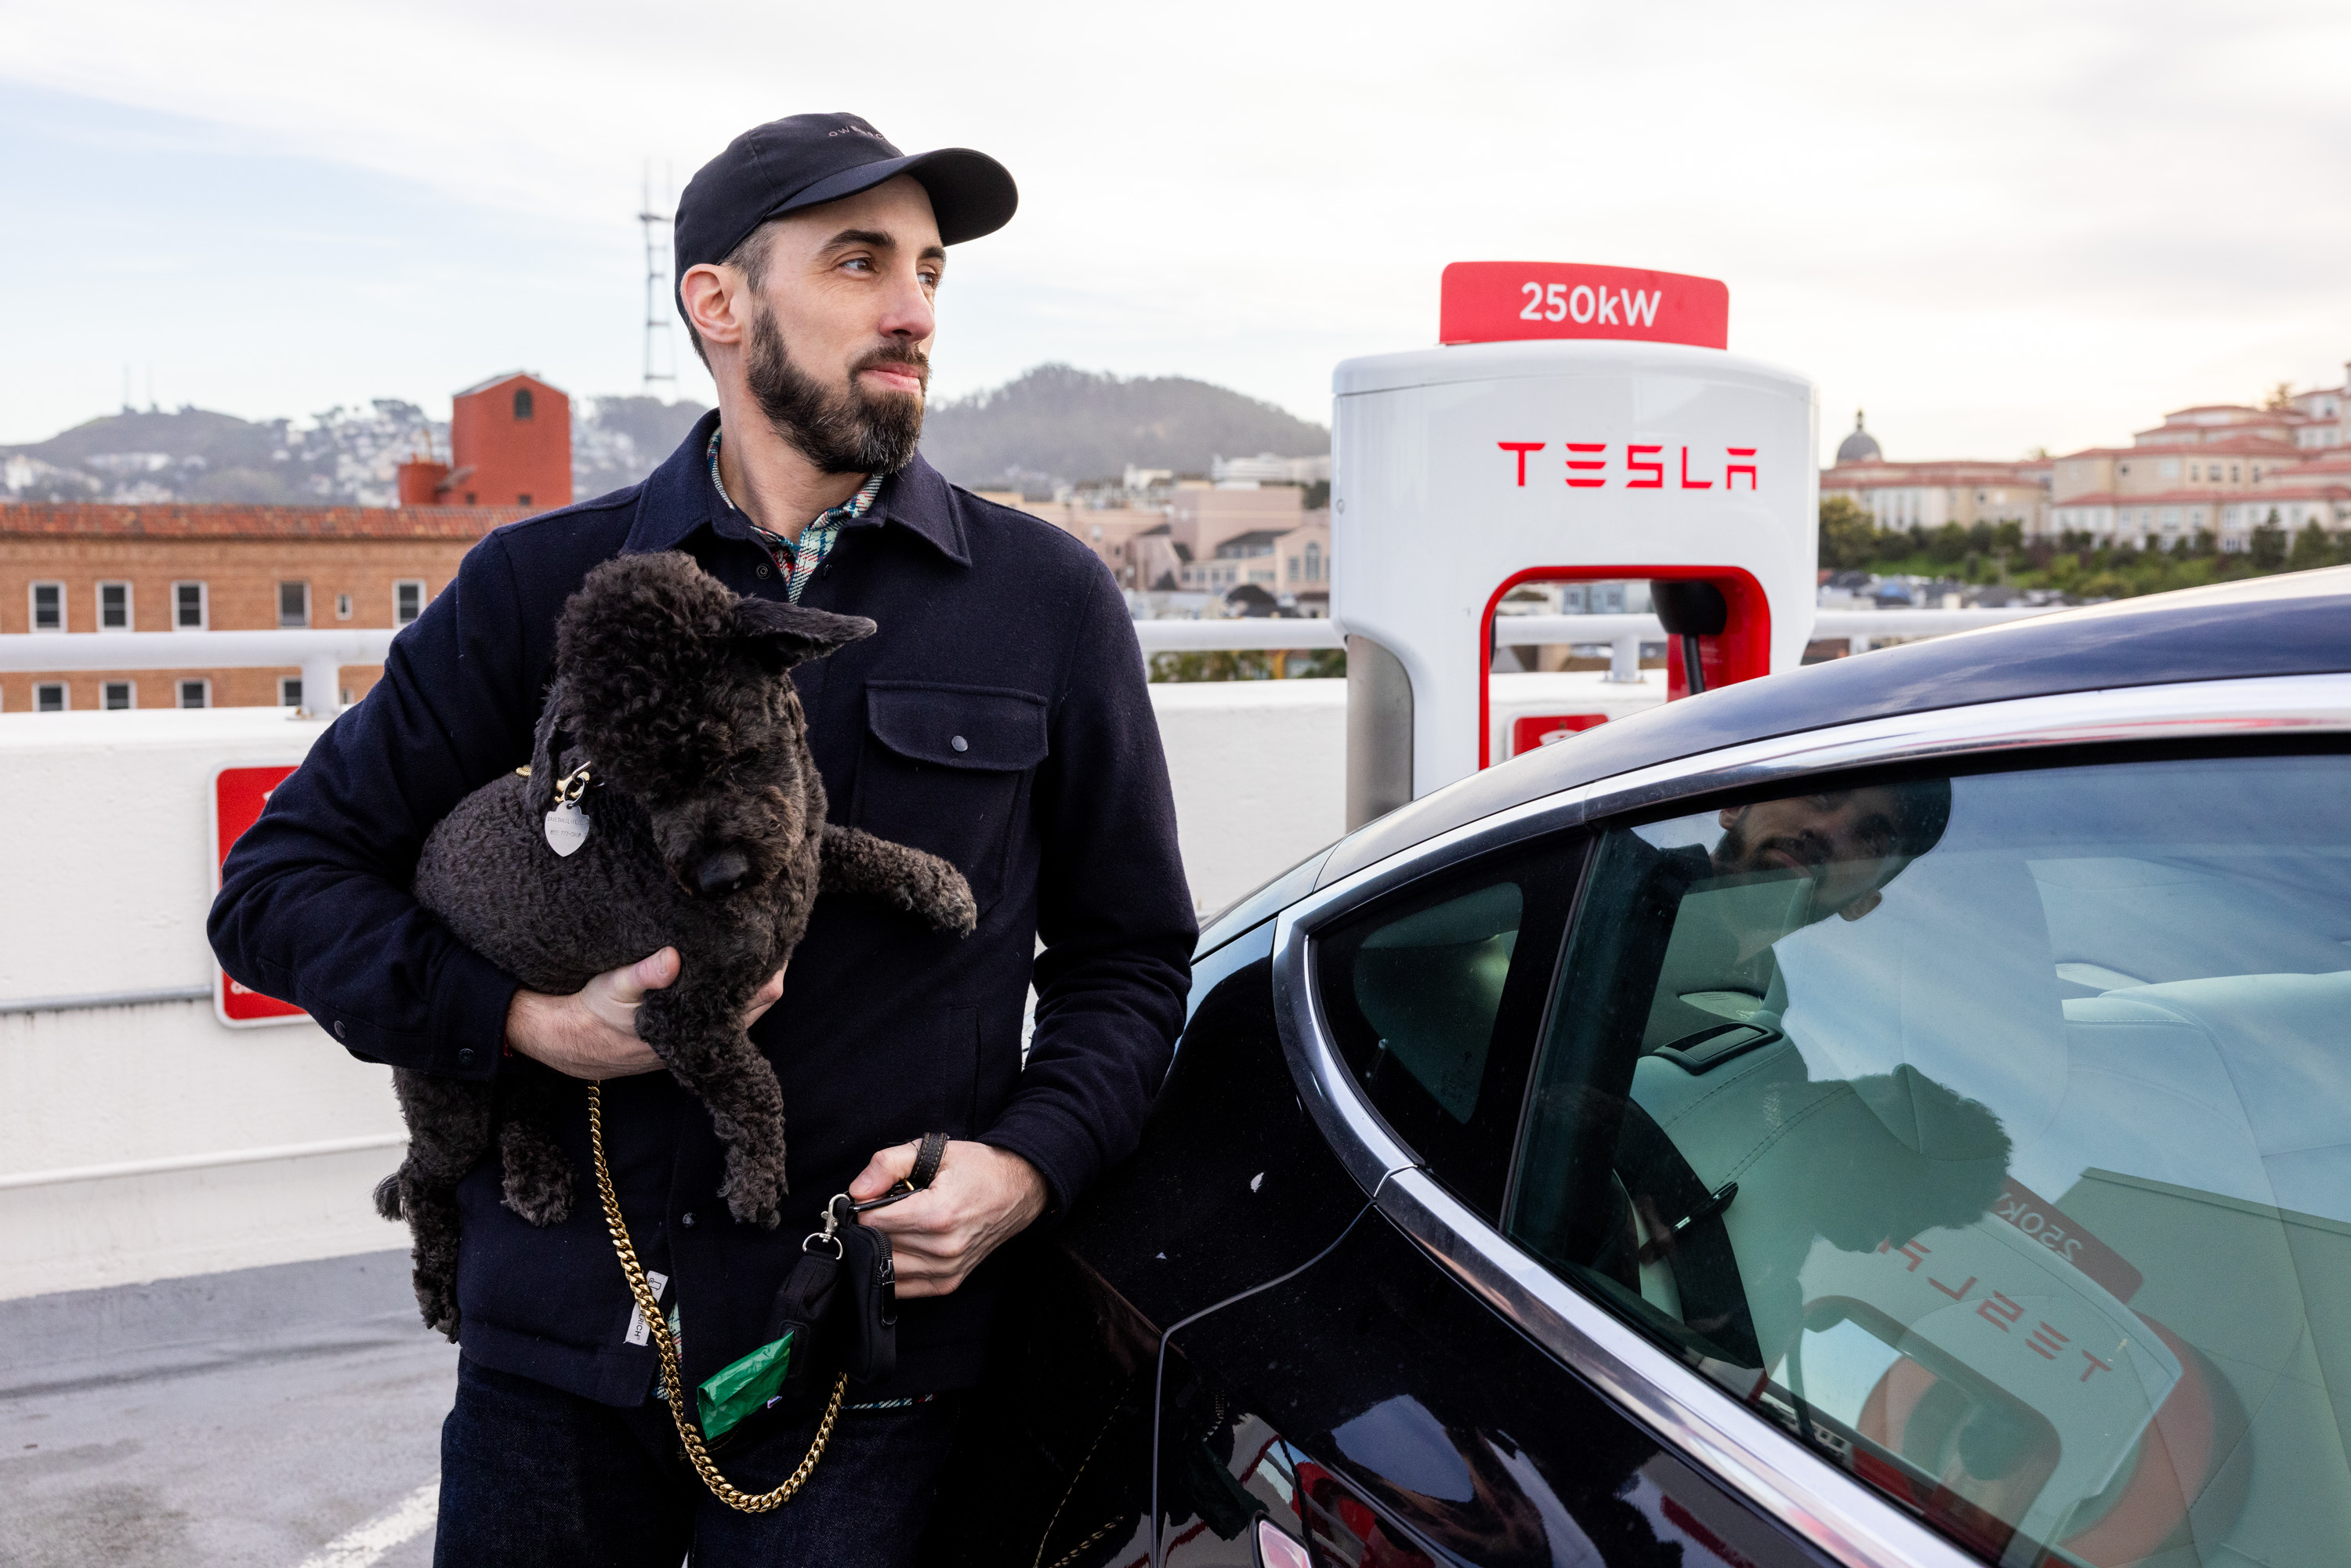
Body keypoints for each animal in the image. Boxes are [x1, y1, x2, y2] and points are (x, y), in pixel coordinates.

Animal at [376, 550, 973, 1335]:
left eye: (735, 753)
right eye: (644, 786)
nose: (718, 874)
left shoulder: (804, 851)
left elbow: (862, 847)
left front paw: (938, 885)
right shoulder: (680, 1016)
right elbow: (753, 1082)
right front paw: (756, 1179)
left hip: (531, 1052)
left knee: (522, 1108)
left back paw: (535, 1176)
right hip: (450, 1097)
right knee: (423, 1179)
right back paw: (439, 1285)